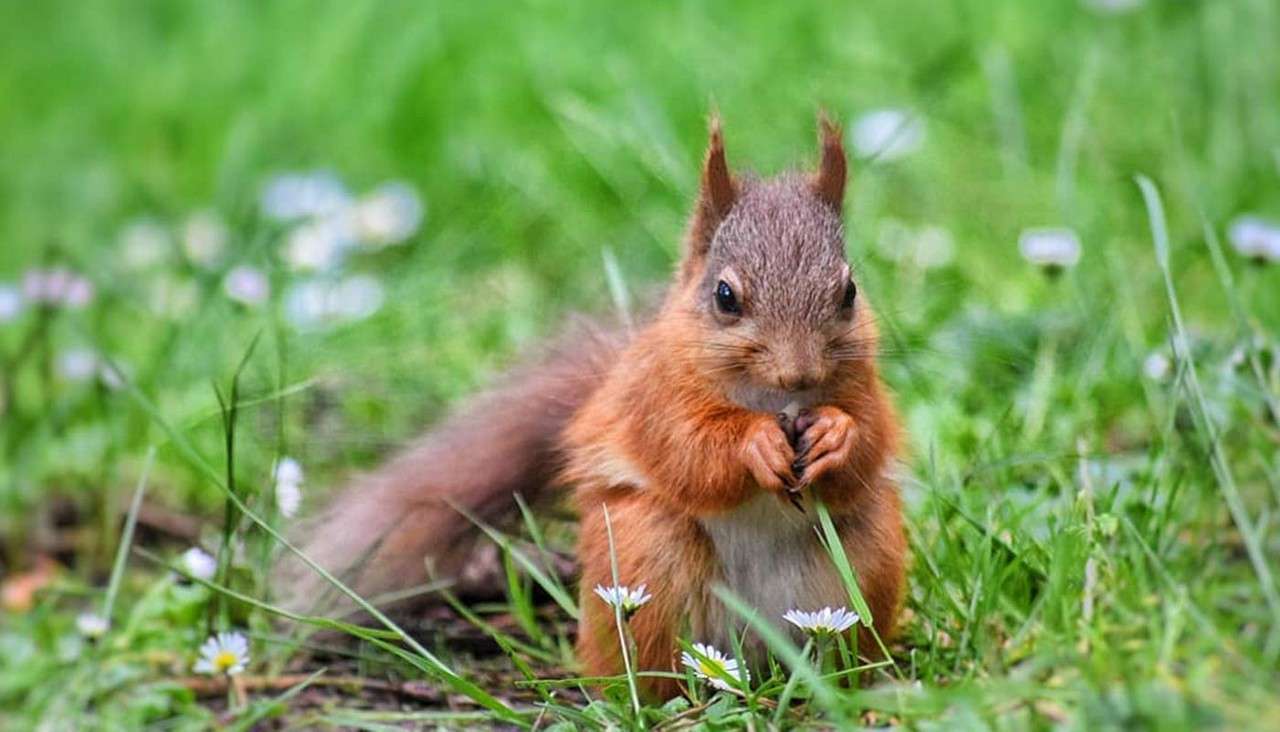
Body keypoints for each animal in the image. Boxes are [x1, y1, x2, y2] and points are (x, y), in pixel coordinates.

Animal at [285, 115, 906, 700]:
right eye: (725, 296)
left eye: (849, 292)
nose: (799, 374)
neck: (772, 401)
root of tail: (752, 653)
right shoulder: (653, 397)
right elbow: (687, 451)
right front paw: (754, 442)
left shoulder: (866, 390)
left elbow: (870, 436)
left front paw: (836, 435)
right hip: (647, 553)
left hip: (866, 556)